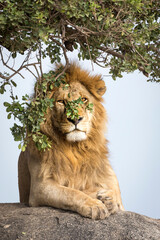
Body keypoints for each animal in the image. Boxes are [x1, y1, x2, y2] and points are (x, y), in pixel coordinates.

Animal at [18, 63, 124, 219]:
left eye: (84, 99)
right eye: (61, 101)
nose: (75, 119)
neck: (76, 149)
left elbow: (115, 194)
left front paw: (109, 199)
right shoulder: (40, 187)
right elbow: (71, 192)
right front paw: (95, 204)